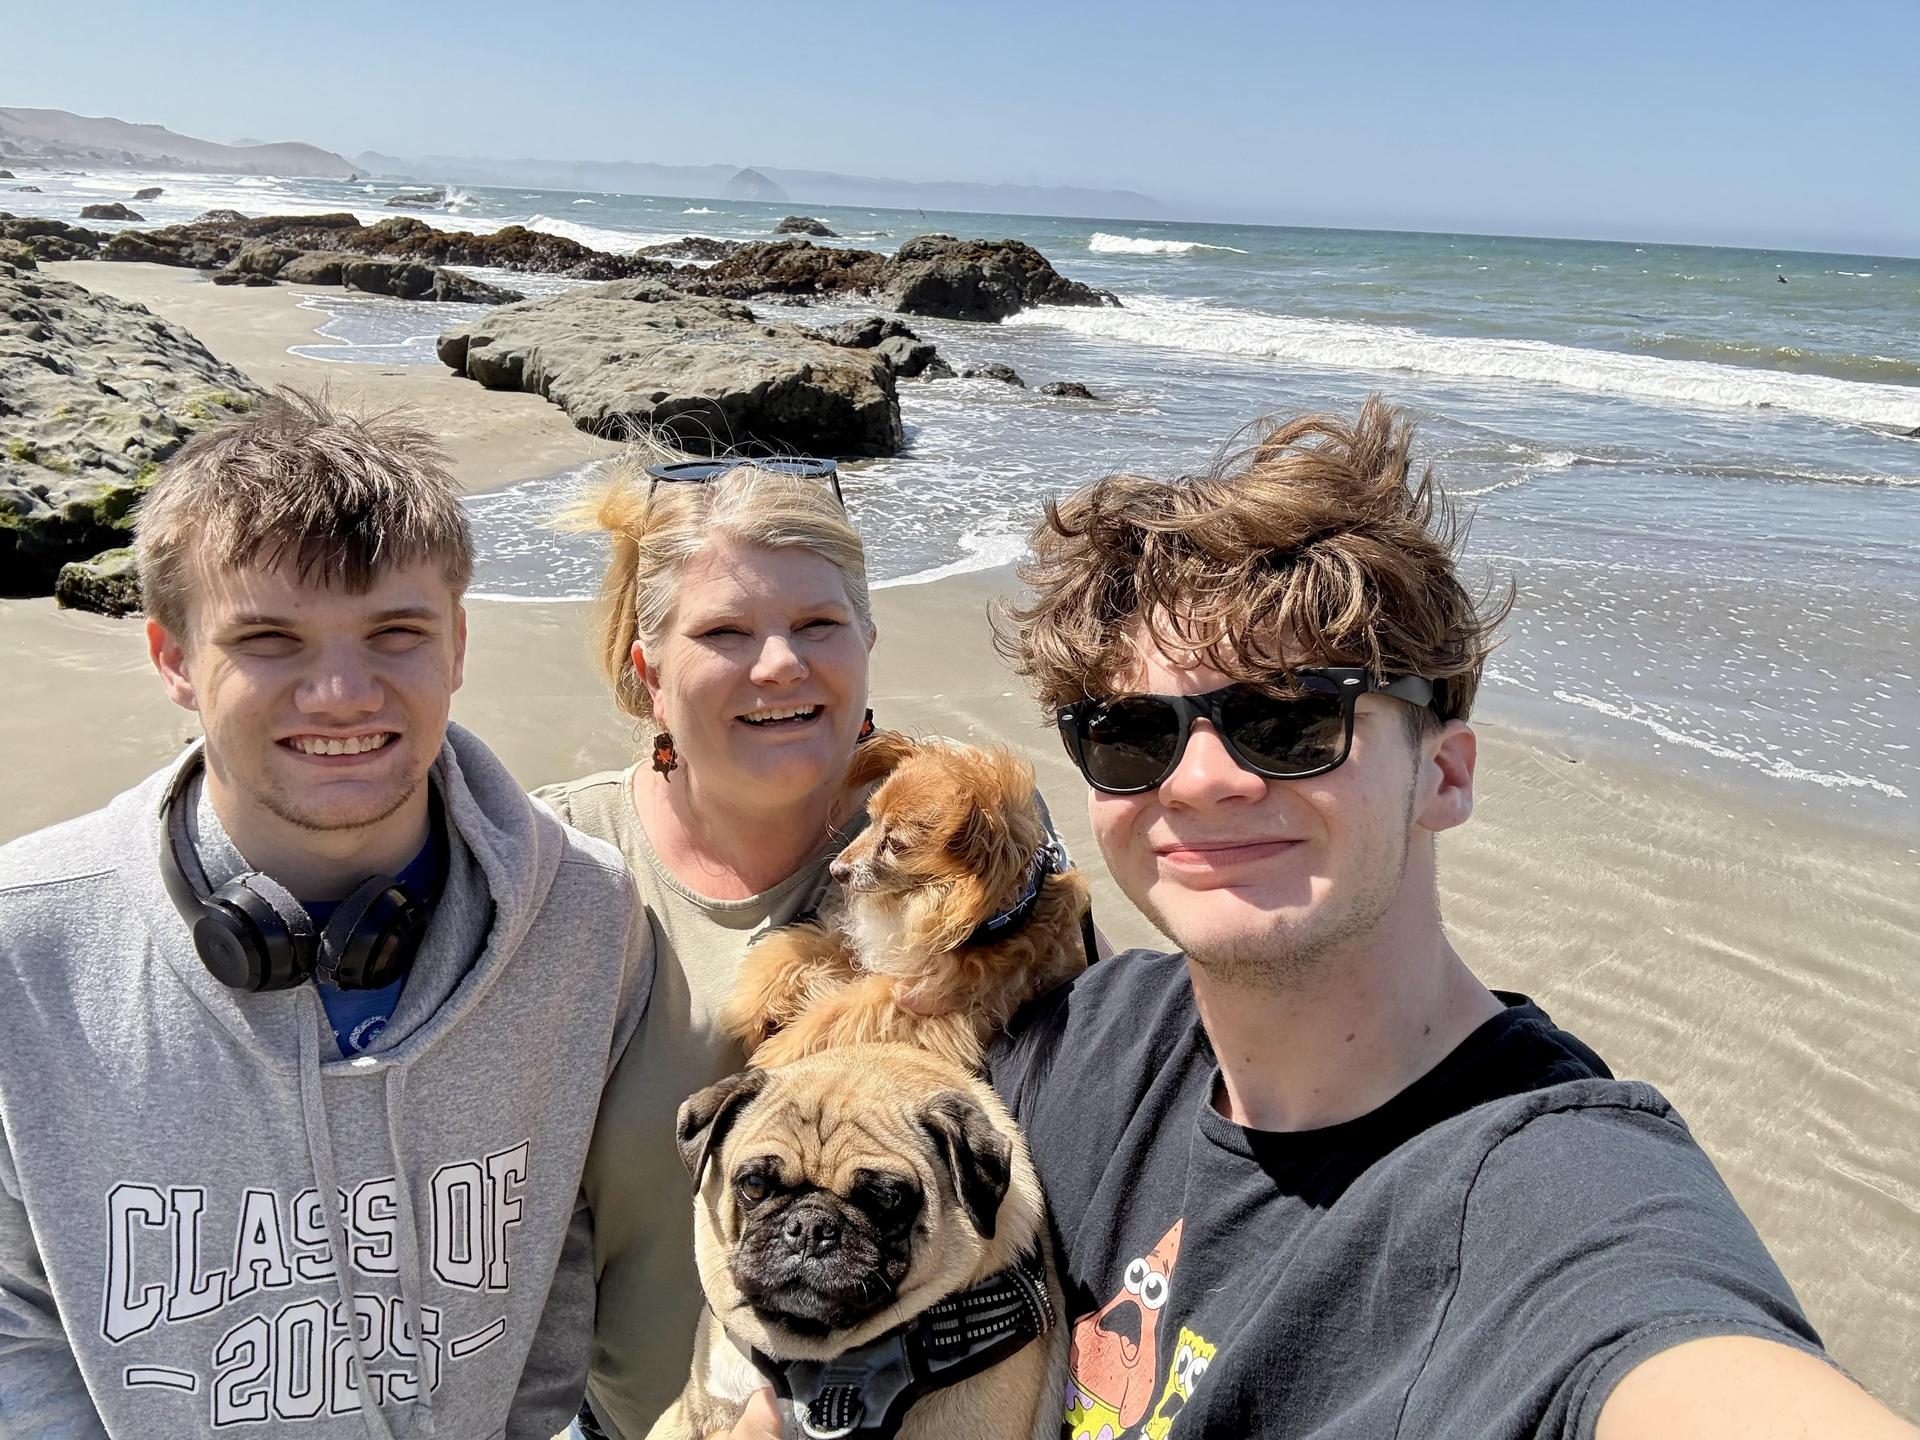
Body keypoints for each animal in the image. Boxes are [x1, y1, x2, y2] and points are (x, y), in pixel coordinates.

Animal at [724, 735, 1091, 1073]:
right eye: (870, 820)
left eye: (895, 844)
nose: (836, 870)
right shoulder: (877, 953)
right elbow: (793, 952)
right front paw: (752, 1006)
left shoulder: (928, 1009)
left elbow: (843, 1014)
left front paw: (780, 1052)